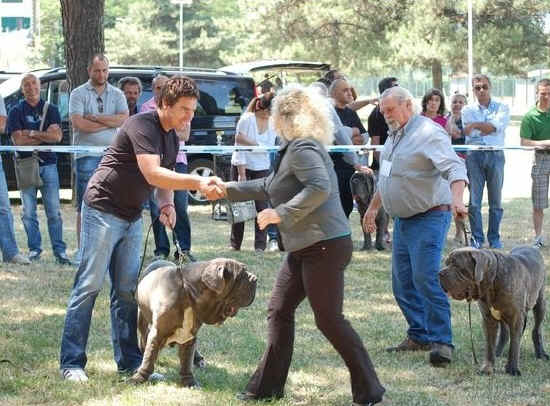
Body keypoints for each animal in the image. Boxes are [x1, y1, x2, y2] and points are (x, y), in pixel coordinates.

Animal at [132, 258, 258, 386]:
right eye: (241, 276)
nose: (255, 278)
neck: (188, 293)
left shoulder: (189, 336)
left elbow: (187, 361)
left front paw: (189, 382)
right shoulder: (157, 333)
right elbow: (149, 358)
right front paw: (139, 378)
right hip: (141, 319)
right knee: (144, 336)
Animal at [440, 246, 550, 376]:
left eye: (457, 265)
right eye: (446, 263)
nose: (440, 273)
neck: (493, 281)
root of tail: (533, 247)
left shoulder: (516, 318)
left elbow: (514, 345)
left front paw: (512, 369)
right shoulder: (488, 319)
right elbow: (489, 345)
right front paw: (487, 368)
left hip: (540, 303)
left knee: (536, 329)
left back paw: (541, 353)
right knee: (504, 333)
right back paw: (498, 351)